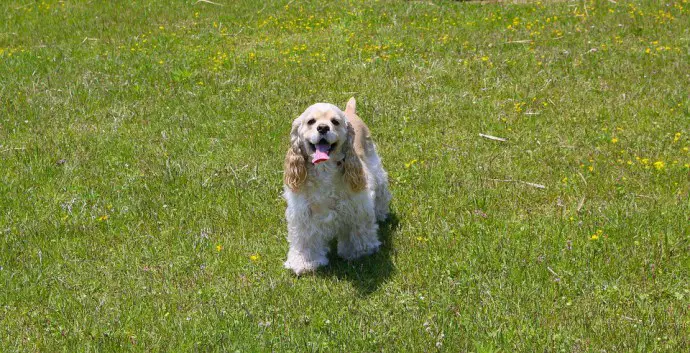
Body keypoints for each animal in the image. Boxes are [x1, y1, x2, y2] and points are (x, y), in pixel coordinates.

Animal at [282, 97, 390, 274]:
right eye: (311, 121)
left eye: (335, 122)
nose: (323, 128)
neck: (324, 170)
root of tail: (349, 111)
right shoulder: (303, 213)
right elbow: (305, 239)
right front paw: (305, 262)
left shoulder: (357, 206)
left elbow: (359, 230)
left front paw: (359, 252)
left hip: (374, 165)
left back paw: (381, 214)